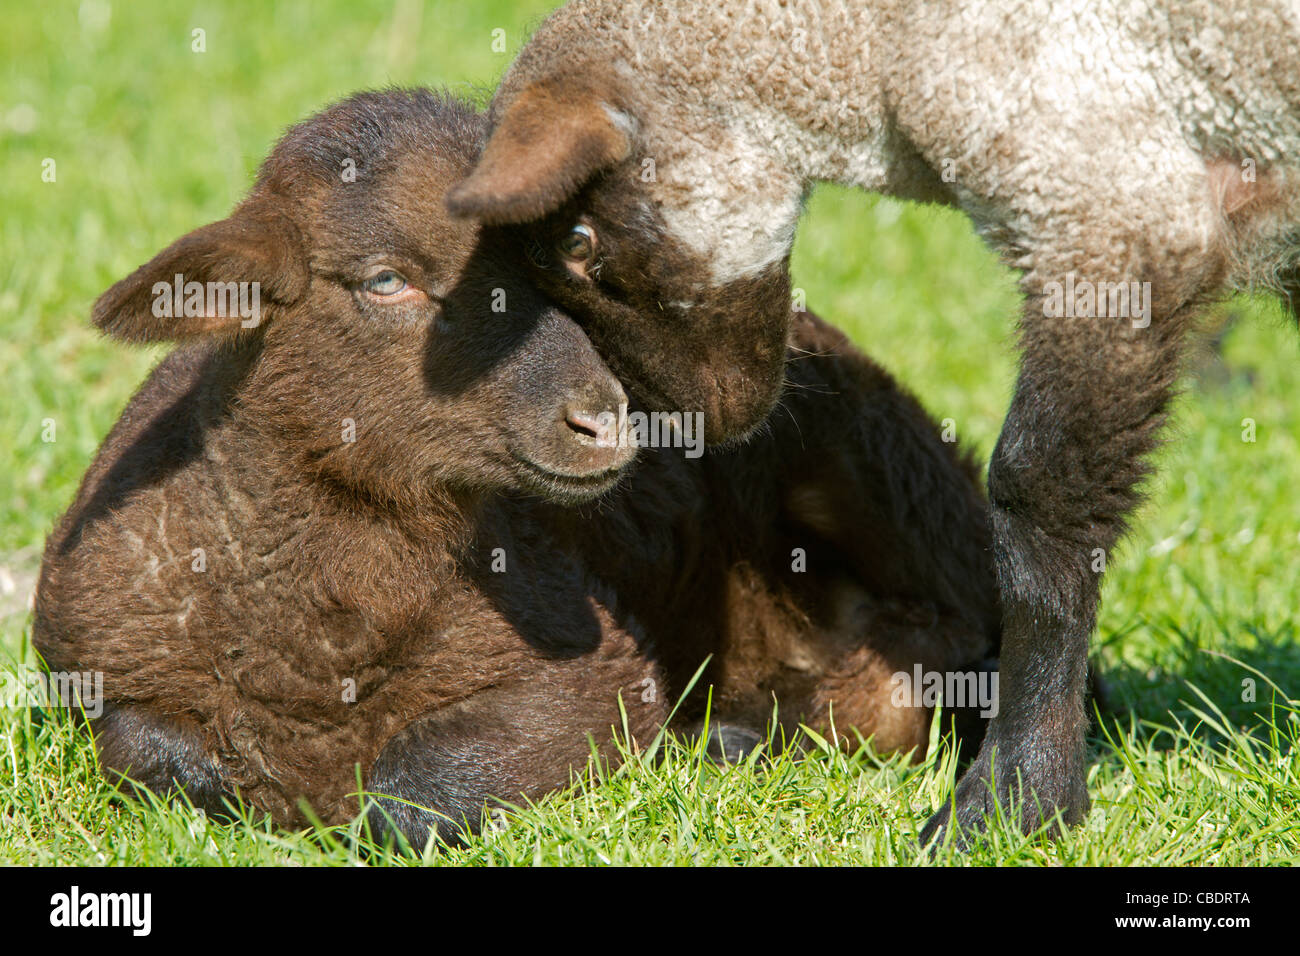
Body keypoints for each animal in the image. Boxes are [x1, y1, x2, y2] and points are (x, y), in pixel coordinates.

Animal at [38, 89, 993, 848]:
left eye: (566, 265)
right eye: (384, 280)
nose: (606, 420)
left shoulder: (586, 675)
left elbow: (410, 794)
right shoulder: (93, 675)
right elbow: (155, 757)